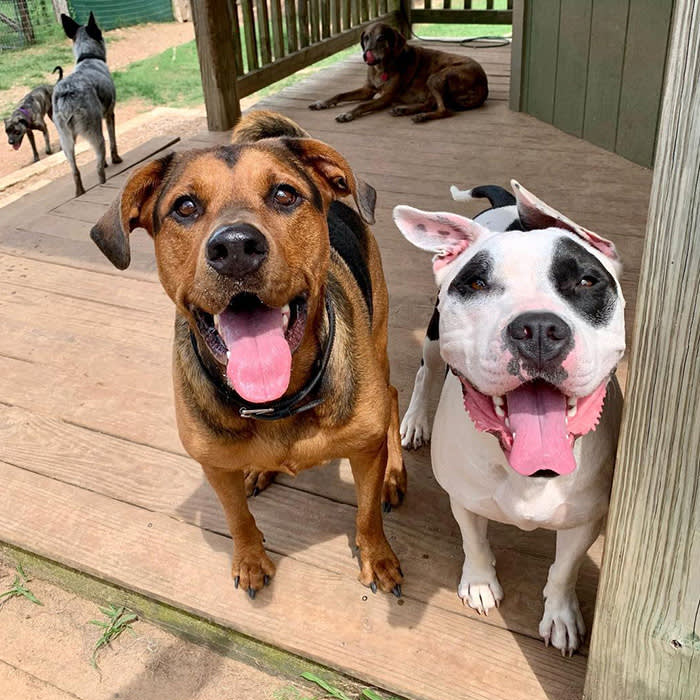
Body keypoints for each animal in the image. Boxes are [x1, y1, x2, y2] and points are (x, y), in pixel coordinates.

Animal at [53, 13, 121, 197]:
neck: (88, 56)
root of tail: (66, 94)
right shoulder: (109, 114)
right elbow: (113, 141)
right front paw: (115, 159)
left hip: (66, 142)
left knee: (75, 172)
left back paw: (80, 193)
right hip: (96, 135)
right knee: (98, 169)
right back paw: (102, 184)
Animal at [308, 21, 490, 123]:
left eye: (381, 38)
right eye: (366, 38)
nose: (366, 54)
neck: (381, 67)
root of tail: (484, 85)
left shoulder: (386, 97)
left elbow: (362, 105)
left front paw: (347, 114)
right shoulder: (367, 89)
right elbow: (340, 94)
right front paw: (322, 102)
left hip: (436, 77)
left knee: (444, 110)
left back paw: (421, 116)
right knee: (430, 104)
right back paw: (403, 110)